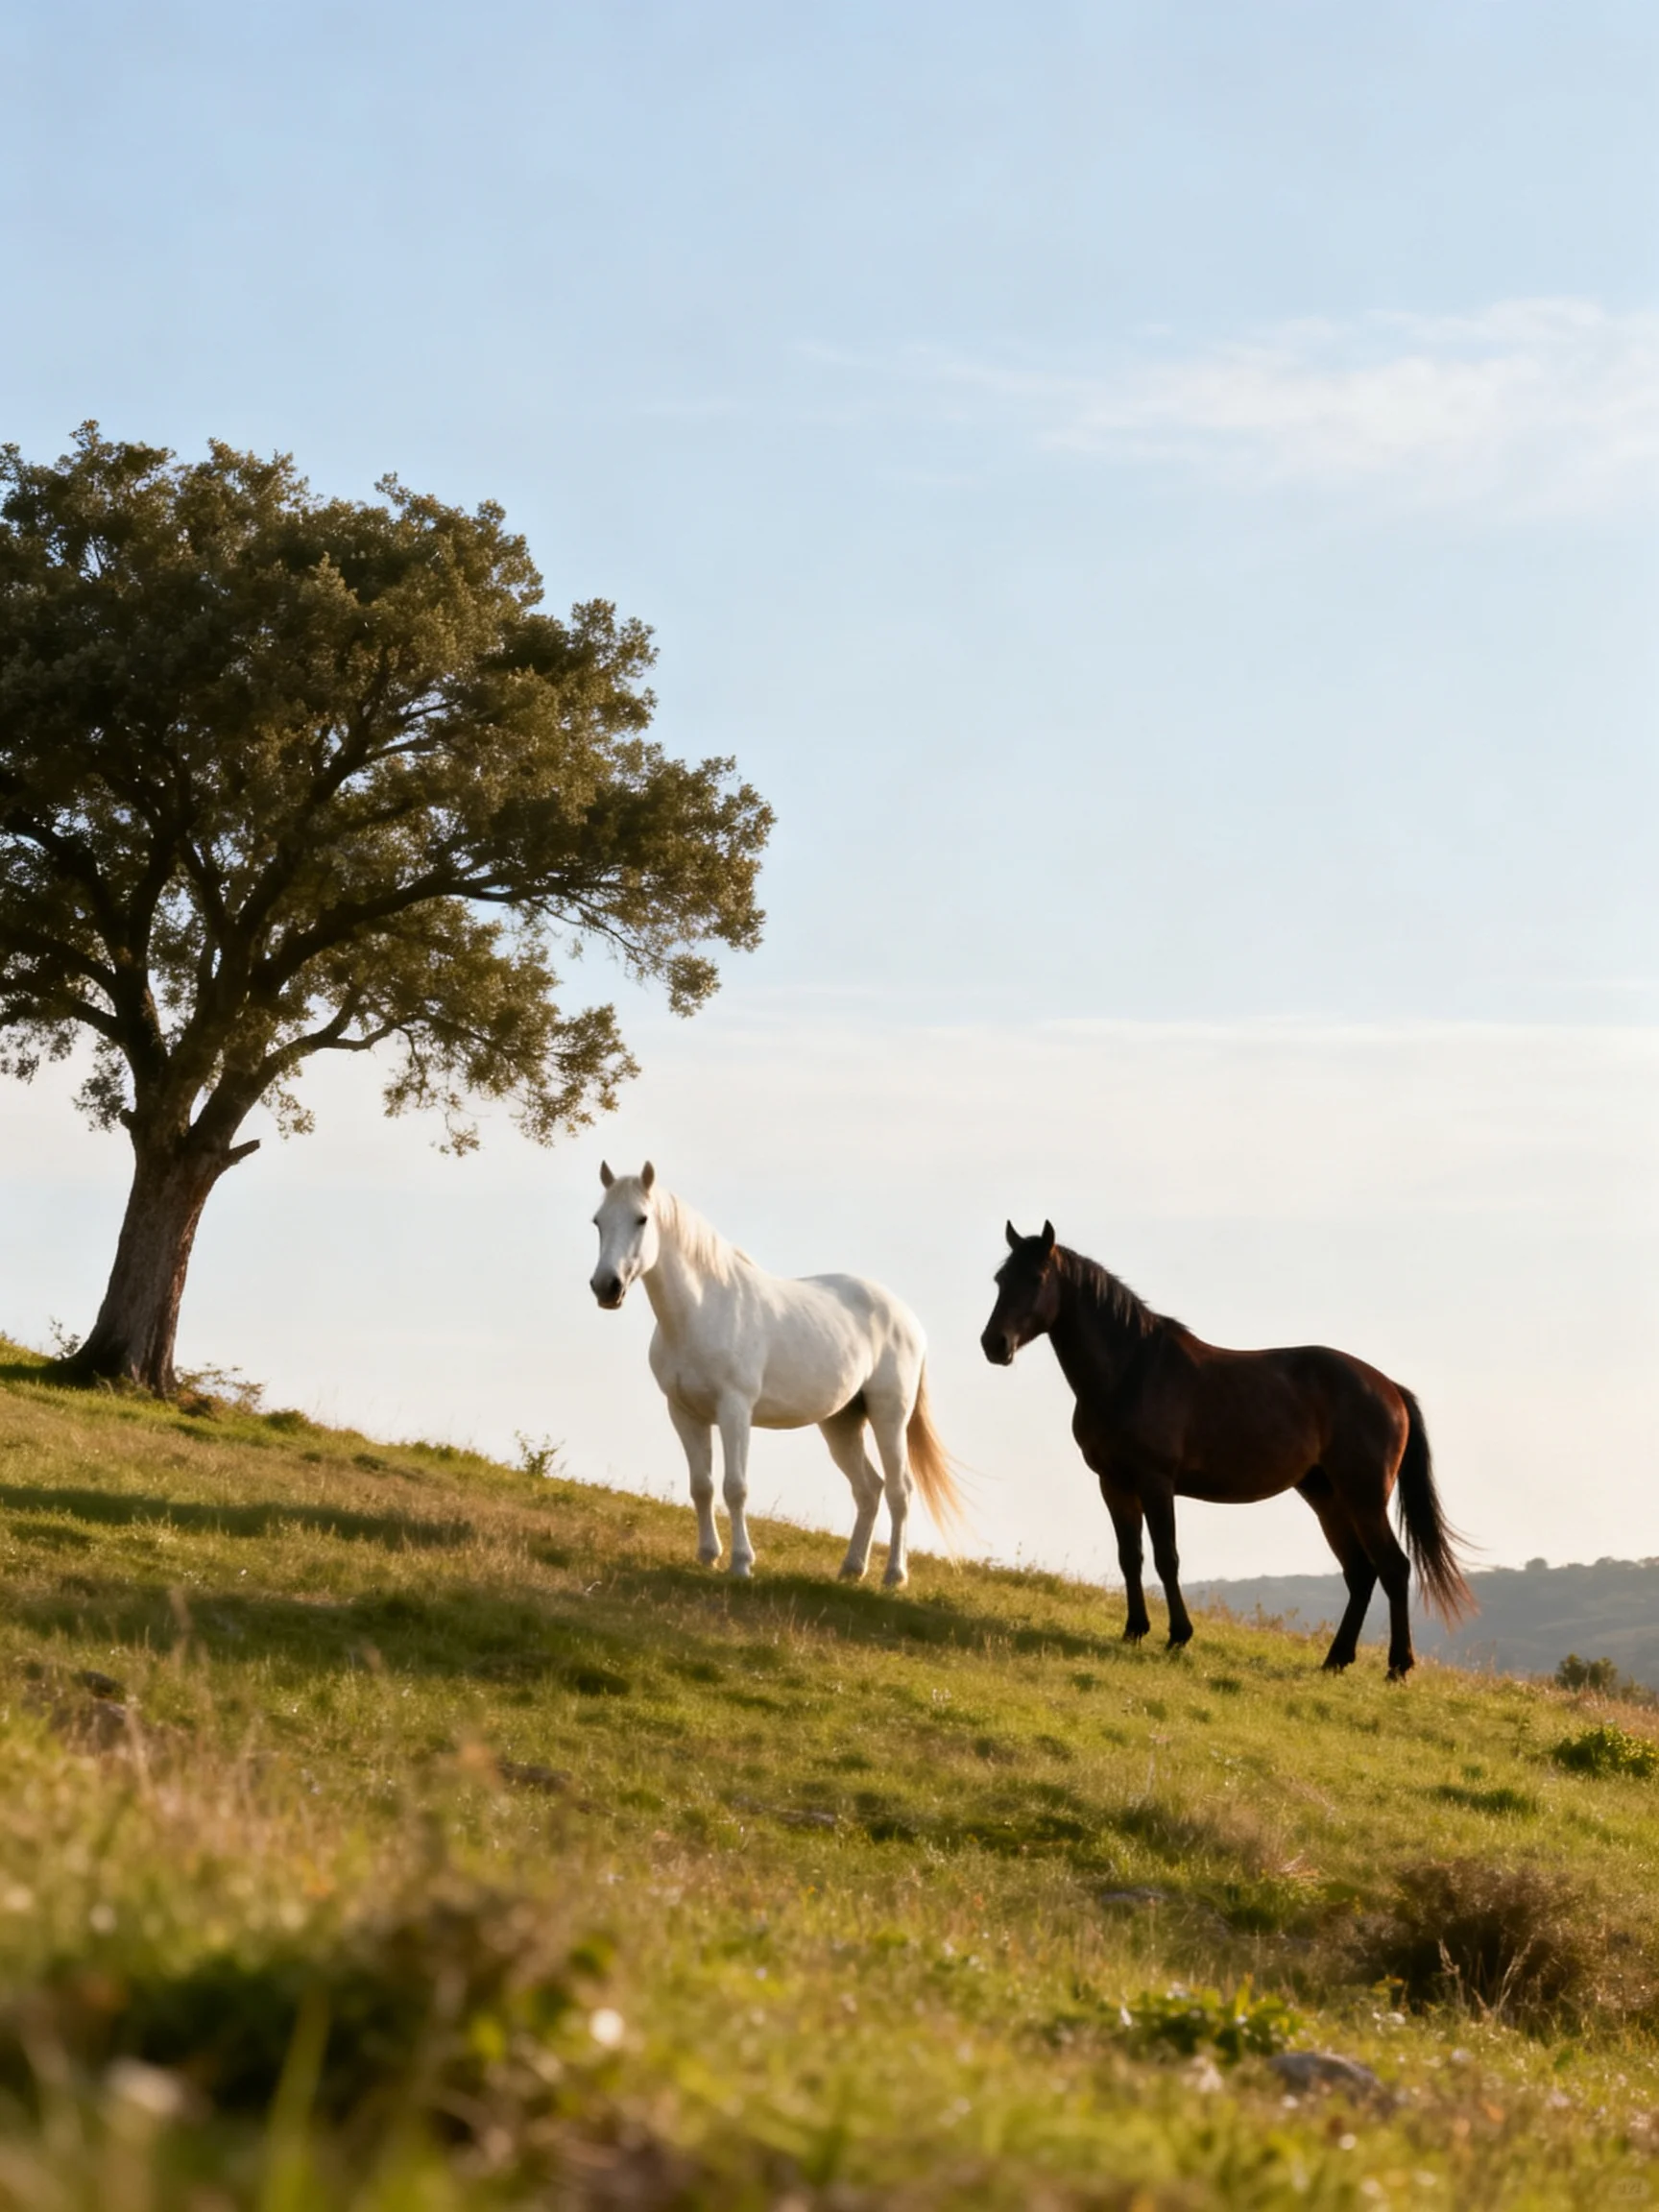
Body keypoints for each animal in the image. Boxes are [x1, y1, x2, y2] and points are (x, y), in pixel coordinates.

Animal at [589, 1163, 963, 1585]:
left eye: (642, 1219)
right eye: (598, 1221)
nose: (606, 1287)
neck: (702, 1310)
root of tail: (907, 1318)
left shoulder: (735, 1411)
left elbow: (735, 1488)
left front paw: (741, 1563)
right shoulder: (684, 1413)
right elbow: (701, 1486)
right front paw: (707, 1556)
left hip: (889, 1416)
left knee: (900, 1491)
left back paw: (894, 1576)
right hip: (841, 1422)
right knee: (869, 1489)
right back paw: (851, 1569)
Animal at [980, 1221, 1475, 1678]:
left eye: (1036, 1278)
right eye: (1001, 1279)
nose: (993, 1344)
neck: (1133, 1370)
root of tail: (1390, 1388)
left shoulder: (1155, 1482)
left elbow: (1166, 1558)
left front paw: (1178, 1636)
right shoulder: (1114, 1483)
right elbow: (1130, 1558)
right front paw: (1134, 1630)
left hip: (1364, 1496)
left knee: (1393, 1568)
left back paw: (1398, 1666)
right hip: (1327, 1496)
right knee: (1361, 1572)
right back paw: (1336, 1660)